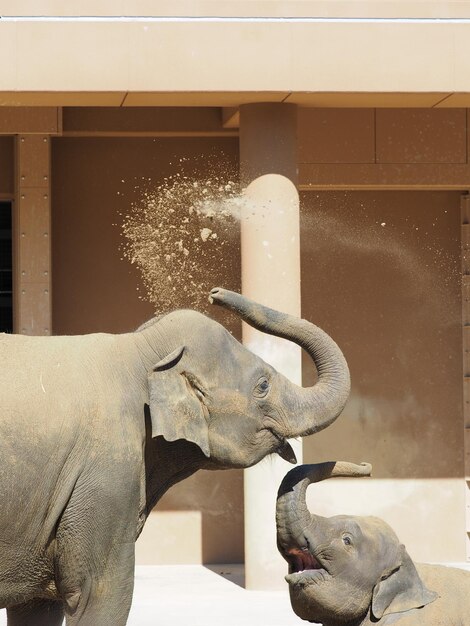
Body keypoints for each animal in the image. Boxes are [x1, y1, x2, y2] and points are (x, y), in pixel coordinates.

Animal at [0, 288, 348, 624]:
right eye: (263, 386)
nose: (214, 293)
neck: (139, 349)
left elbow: (37, 606)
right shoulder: (105, 475)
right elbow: (100, 594)